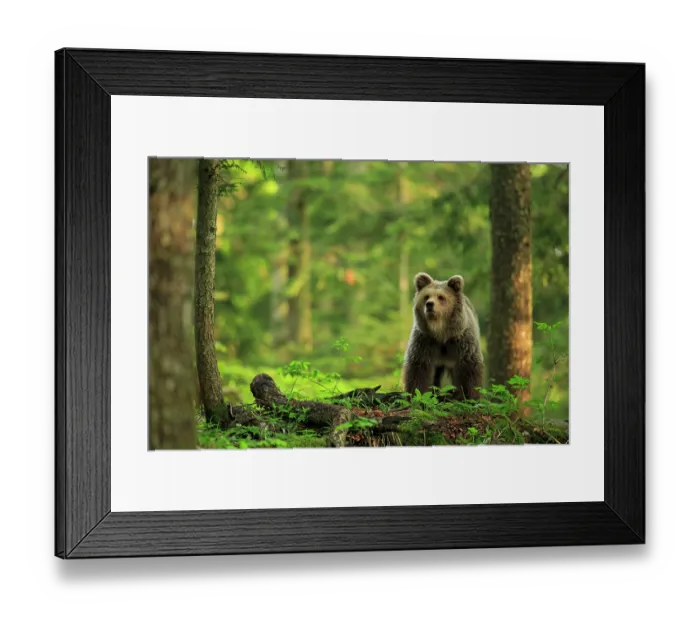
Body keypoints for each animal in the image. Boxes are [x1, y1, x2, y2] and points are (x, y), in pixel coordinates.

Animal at [402, 272, 484, 401]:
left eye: (441, 297)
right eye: (426, 296)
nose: (429, 304)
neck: (441, 333)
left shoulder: (462, 342)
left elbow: (469, 368)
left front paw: (471, 396)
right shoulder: (425, 342)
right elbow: (418, 368)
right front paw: (416, 395)